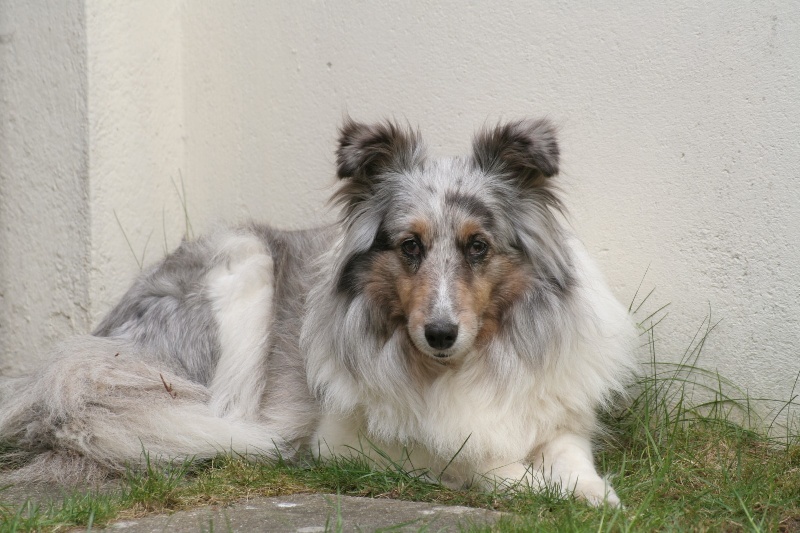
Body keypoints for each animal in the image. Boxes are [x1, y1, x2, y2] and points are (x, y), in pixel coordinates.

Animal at [1, 116, 636, 502]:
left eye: (478, 246)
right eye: (410, 246)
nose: (439, 333)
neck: (459, 367)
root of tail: (94, 349)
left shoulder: (557, 413)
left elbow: (569, 455)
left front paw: (596, 496)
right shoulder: (353, 442)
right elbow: (470, 456)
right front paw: (541, 487)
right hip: (244, 265)